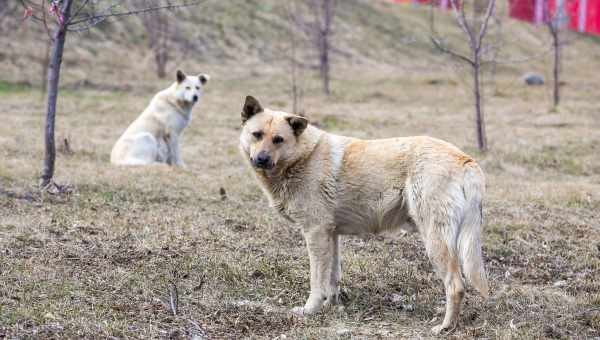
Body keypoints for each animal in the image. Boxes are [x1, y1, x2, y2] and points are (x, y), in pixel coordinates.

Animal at [239, 96, 488, 334]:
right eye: (257, 135)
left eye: (278, 139)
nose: (261, 159)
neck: (303, 157)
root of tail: (465, 159)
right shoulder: (330, 235)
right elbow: (332, 278)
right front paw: (332, 305)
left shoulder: (315, 234)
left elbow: (316, 281)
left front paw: (310, 310)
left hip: (434, 241)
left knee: (456, 286)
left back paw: (445, 327)